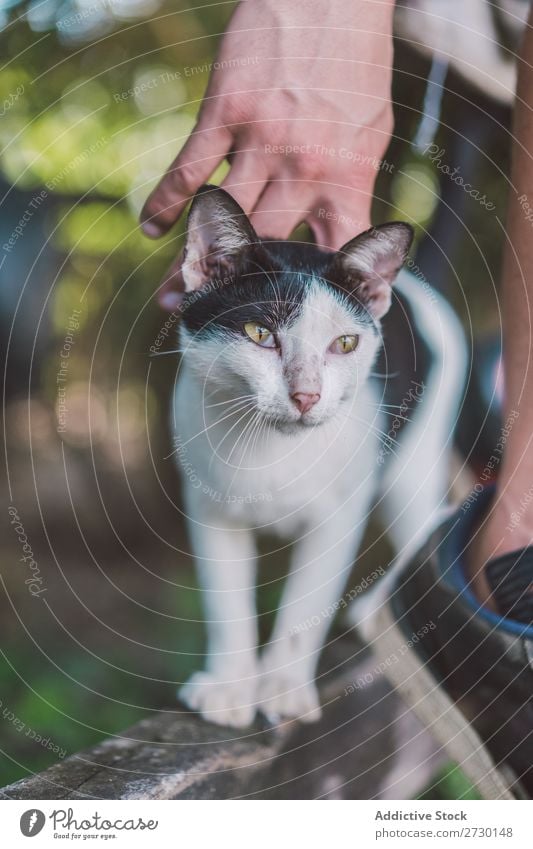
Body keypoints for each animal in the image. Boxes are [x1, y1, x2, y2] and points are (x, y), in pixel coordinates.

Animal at [171, 186, 466, 728]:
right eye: (259, 333)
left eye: (344, 343)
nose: (306, 395)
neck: (273, 451)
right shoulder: (208, 509)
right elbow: (226, 604)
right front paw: (230, 687)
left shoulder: (340, 516)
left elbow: (306, 604)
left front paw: (283, 688)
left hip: (415, 457)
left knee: (423, 522)